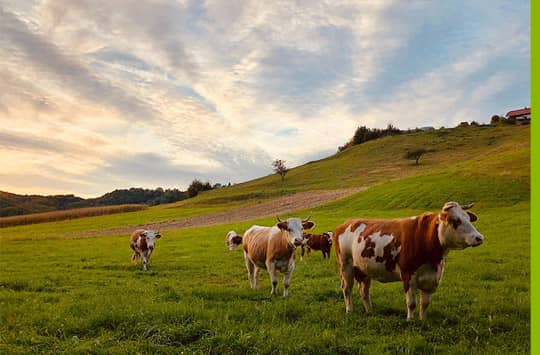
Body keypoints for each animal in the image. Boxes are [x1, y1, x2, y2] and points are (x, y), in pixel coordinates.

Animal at [336, 202, 484, 322]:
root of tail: (346, 223)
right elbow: (411, 303)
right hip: (346, 265)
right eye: (455, 220)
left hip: (363, 269)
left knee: (364, 291)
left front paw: (423, 320)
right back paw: (349, 310)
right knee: (347, 288)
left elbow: (425, 303)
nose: (479, 238)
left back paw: (369, 312)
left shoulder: (432, 279)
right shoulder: (408, 275)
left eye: (468, 218)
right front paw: (410, 321)